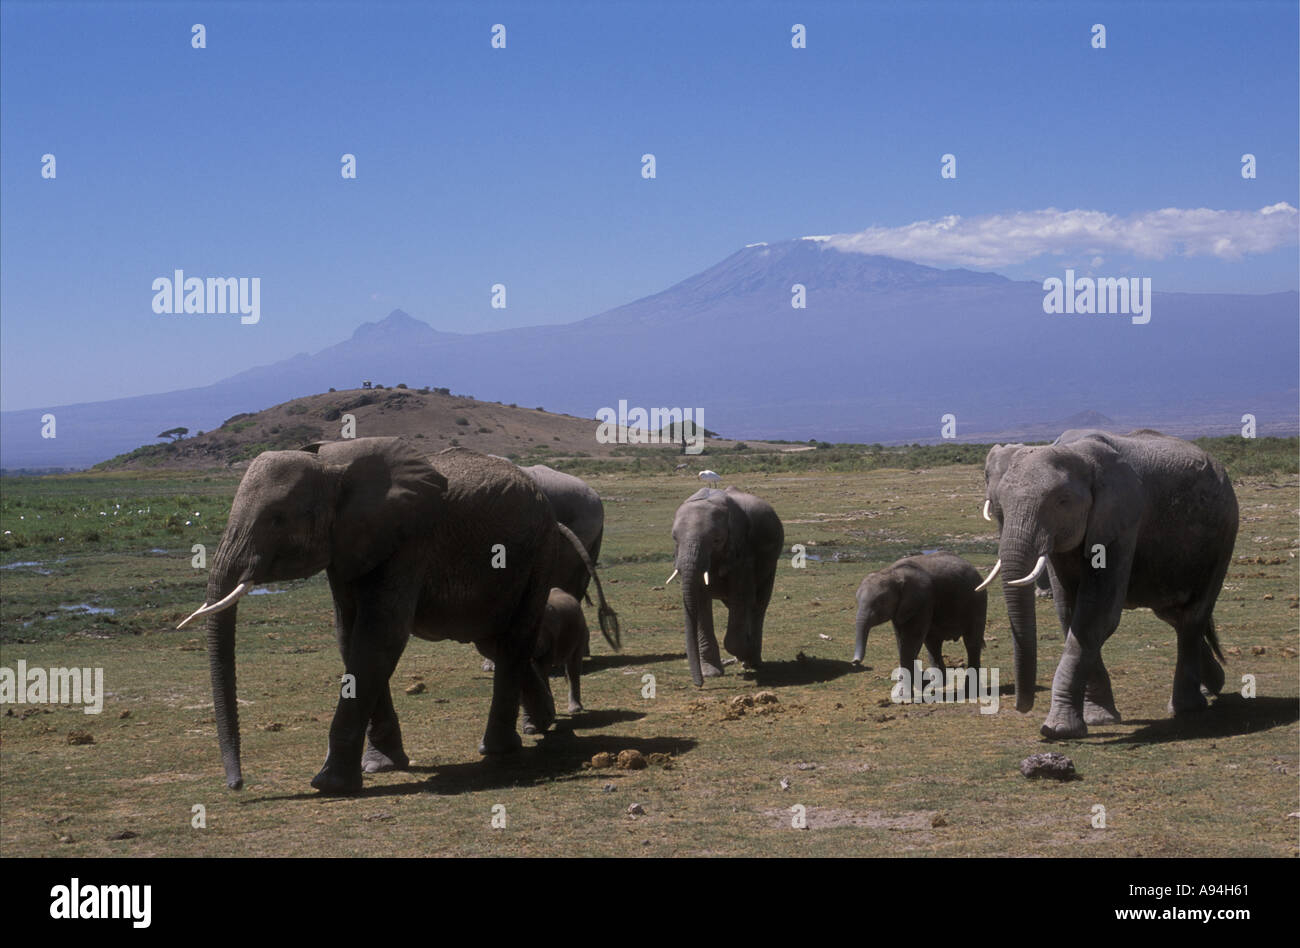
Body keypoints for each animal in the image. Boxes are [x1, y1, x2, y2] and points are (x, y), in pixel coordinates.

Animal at [178, 436, 618, 790]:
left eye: (277, 519)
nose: (236, 785)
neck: (333, 465)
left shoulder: (410, 540)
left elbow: (380, 635)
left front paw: (329, 783)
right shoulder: (348, 547)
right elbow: (349, 634)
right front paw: (381, 767)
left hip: (537, 553)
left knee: (512, 642)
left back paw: (498, 749)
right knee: (497, 641)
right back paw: (542, 724)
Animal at [670, 488, 780, 681]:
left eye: (716, 540)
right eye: (675, 538)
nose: (699, 684)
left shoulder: (743, 551)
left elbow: (741, 595)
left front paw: (746, 653)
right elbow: (700, 600)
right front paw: (711, 673)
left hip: (771, 563)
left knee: (758, 605)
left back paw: (753, 661)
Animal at [852, 553, 982, 681]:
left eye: (879, 602)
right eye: (857, 601)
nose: (855, 662)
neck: (893, 573)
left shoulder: (922, 601)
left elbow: (912, 637)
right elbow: (900, 637)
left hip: (977, 600)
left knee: (972, 642)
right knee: (933, 643)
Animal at [977, 431, 1237, 738]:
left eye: (1062, 501)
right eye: (999, 506)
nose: (1022, 707)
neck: (1076, 452)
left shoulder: (1120, 521)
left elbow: (1095, 617)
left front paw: (1058, 730)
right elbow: (1068, 612)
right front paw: (1099, 720)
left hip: (1224, 533)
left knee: (1193, 615)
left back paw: (1186, 708)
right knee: (1173, 614)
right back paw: (1214, 685)